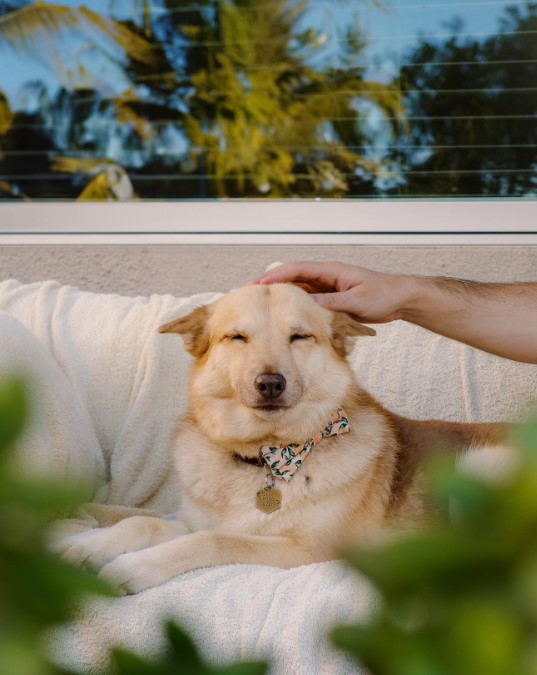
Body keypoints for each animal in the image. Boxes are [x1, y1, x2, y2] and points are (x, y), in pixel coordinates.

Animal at [58, 282, 506, 596]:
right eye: (237, 337)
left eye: (300, 337)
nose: (270, 383)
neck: (268, 456)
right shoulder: (190, 518)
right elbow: (140, 522)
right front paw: (87, 544)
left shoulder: (306, 552)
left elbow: (214, 539)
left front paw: (134, 566)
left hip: (480, 466)